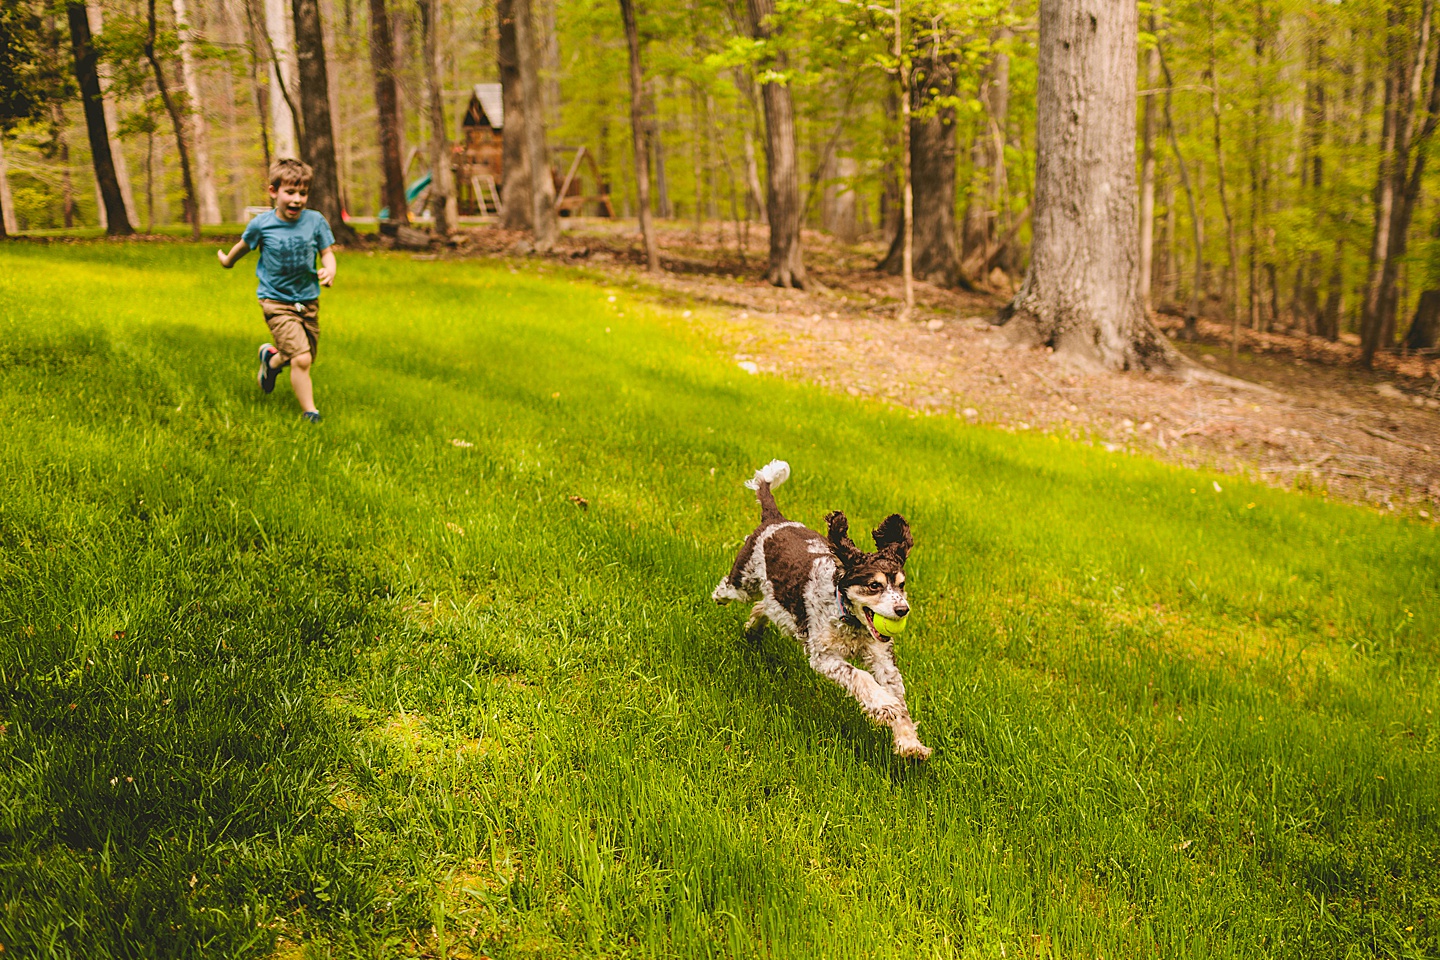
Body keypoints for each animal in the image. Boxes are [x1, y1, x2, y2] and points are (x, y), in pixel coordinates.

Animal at [711, 460, 933, 759]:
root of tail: (775, 519)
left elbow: (897, 693)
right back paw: (722, 600)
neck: (850, 619)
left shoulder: (881, 656)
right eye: (874, 585)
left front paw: (909, 743)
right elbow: (860, 676)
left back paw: (753, 630)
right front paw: (884, 705)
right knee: (729, 590)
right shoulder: (823, 655)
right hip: (742, 583)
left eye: (902, 584)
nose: (902, 610)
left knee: (763, 605)